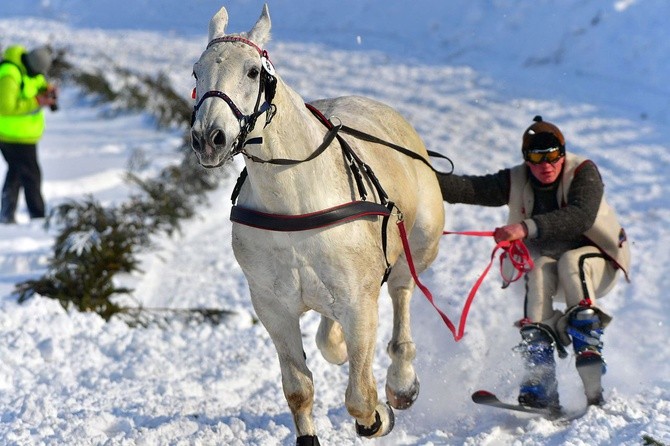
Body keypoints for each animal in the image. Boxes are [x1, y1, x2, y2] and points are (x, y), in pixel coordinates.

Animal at [190, 4, 446, 446]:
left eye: (253, 72)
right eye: (195, 72)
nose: (209, 138)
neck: (294, 201)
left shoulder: (359, 303)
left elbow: (360, 396)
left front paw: (378, 415)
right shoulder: (273, 307)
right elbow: (298, 387)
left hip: (418, 245)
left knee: (402, 294)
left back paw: (401, 381)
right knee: (329, 334)